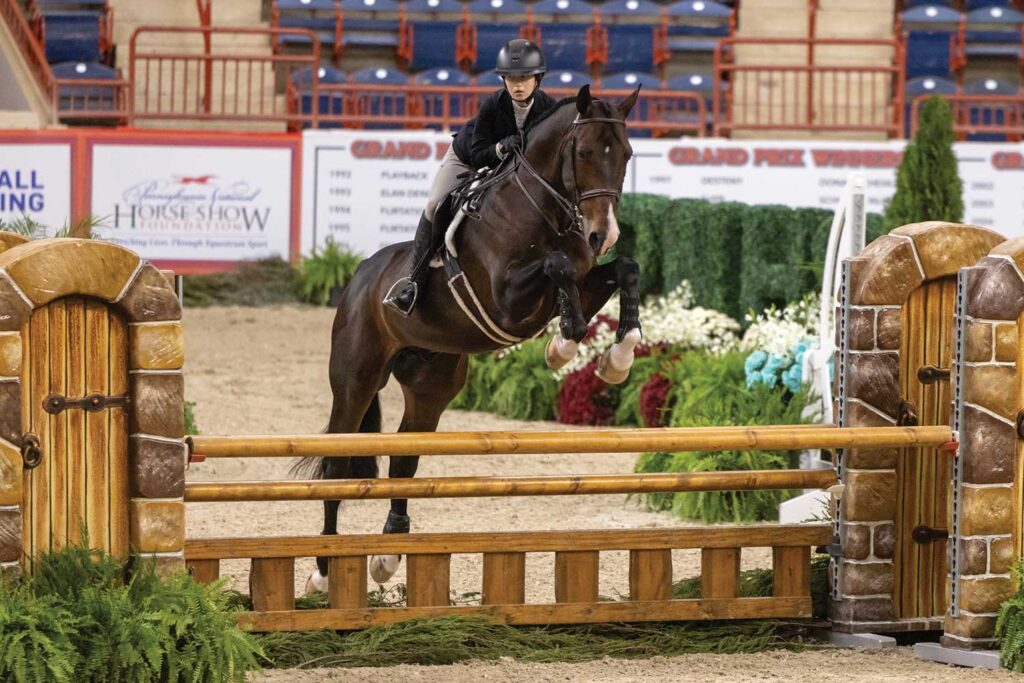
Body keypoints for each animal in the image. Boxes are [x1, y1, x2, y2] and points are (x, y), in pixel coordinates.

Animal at [302, 85, 645, 592]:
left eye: (625, 154)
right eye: (583, 152)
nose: (603, 234)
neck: (544, 211)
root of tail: (360, 277)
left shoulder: (583, 280)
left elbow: (623, 268)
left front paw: (618, 356)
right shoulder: (507, 299)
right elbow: (557, 266)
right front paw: (562, 345)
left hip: (431, 384)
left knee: (405, 458)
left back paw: (387, 554)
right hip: (355, 382)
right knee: (336, 465)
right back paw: (324, 571)